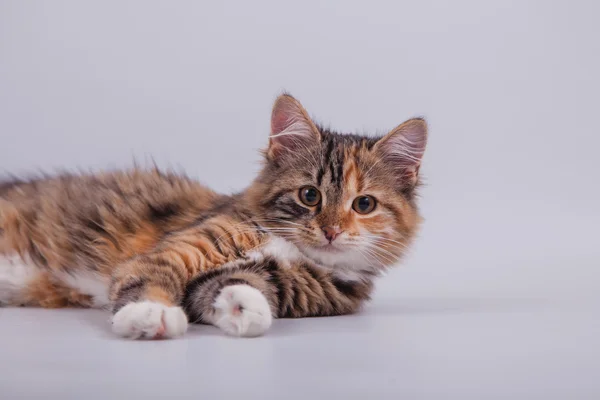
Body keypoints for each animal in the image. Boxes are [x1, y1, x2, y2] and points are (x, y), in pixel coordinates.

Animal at [2, 94, 428, 338]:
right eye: (310, 195)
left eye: (364, 205)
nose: (332, 231)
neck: (289, 249)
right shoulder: (182, 246)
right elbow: (151, 276)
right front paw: (151, 313)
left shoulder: (289, 284)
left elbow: (229, 287)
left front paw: (243, 307)